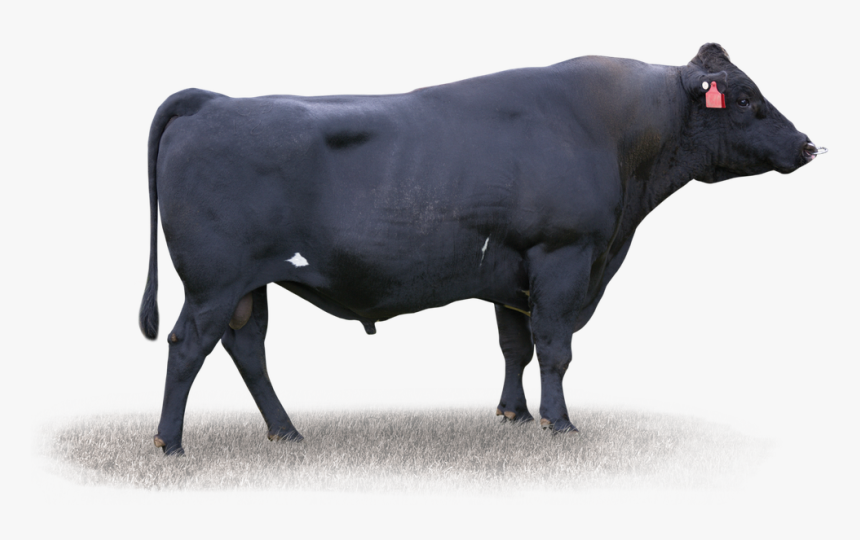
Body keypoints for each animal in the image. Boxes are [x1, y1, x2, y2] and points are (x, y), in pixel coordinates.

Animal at [140, 44, 821, 455]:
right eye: (744, 99)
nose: (808, 145)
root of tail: (213, 100)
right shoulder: (563, 256)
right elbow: (555, 348)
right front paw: (558, 422)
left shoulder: (509, 270)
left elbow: (515, 346)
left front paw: (512, 414)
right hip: (213, 282)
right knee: (186, 347)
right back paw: (171, 444)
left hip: (248, 284)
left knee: (247, 349)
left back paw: (285, 433)